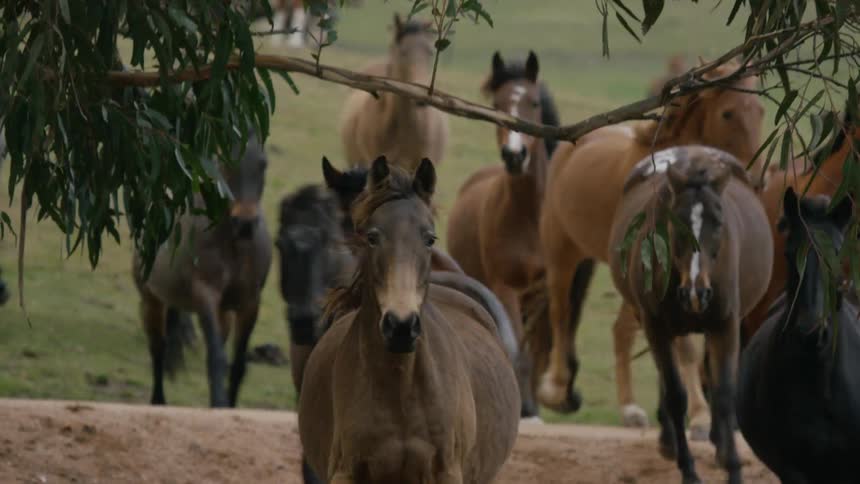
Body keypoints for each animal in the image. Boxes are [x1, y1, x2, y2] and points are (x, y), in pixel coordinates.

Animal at [133, 134, 272, 408]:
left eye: (263, 164)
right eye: (225, 162)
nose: (246, 223)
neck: (232, 245)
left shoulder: (250, 303)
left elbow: (238, 366)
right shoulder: (205, 295)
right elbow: (216, 359)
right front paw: (219, 405)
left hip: (223, 313)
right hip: (151, 300)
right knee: (158, 349)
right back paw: (158, 401)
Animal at [445, 51, 564, 418]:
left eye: (534, 103)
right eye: (497, 104)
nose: (514, 156)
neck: (529, 220)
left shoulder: (544, 293)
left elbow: (537, 353)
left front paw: (534, 408)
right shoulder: (505, 287)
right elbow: (520, 353)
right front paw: (525, 410)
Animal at [536, 59, 765, 434]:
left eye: (760, 110)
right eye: (728, 113)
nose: (757, 178)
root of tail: (574, 142)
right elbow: (686, 347)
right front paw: (700, 416)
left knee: (620, 331)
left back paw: (630, 410)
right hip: (562, 252)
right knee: (560, 312)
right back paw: (556, 391)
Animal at [609, 147, 772, 484]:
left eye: (718, 222)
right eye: (677, 223)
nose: (696, 293)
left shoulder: (726, 325)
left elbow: (724, 395)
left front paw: (732, 465)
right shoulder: (656, 326)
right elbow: (676, 396)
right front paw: (689, 469)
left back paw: (719, 444)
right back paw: (669, 441)